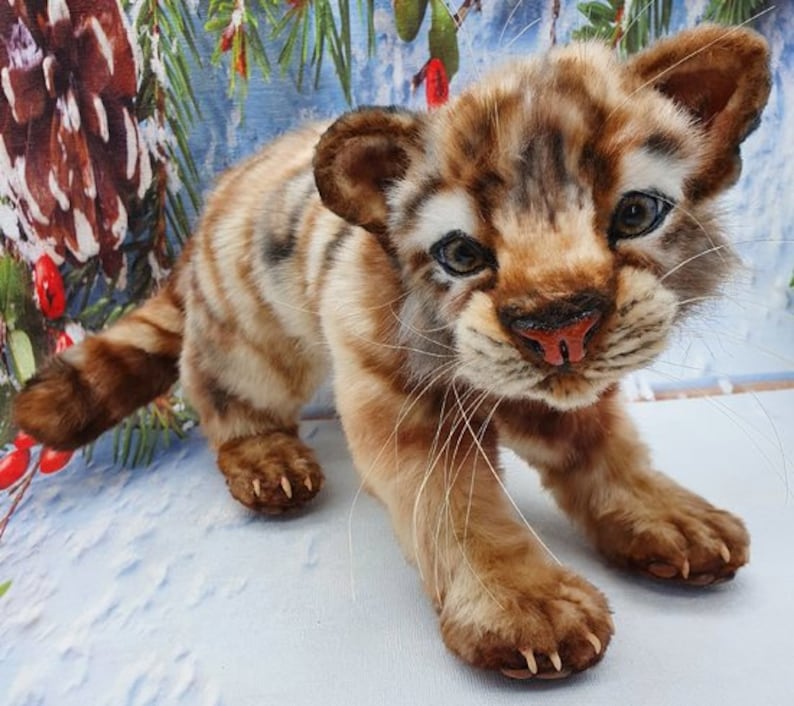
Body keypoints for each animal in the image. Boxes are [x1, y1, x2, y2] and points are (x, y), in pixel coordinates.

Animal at [13, 25, 770, 680]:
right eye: (461, 255)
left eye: (637, 213)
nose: (560, 326)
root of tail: (214, 201)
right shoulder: (404, 408)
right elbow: (462, 511)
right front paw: (524, 607)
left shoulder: (555, 396)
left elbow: (608, 454)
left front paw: (671, 517)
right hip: (252, 338)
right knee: (220, 388)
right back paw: (268, 462)